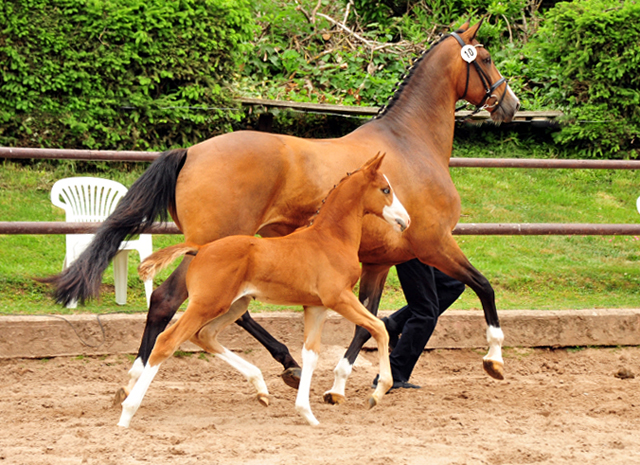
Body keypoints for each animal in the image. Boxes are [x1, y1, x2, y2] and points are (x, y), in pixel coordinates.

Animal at [118, 154, 410, 426]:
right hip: (207, 304)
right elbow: (379, 327)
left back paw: (260, 386)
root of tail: (200, 249)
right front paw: (378, 392)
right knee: (168, 340)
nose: (405, 220)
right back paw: (127, 412)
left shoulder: (316, 307)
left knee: (204, 335)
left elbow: (311, 354)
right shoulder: (339, 297)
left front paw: (307, 413)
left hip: (235, 305)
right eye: (385, 189)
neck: (329, 238)